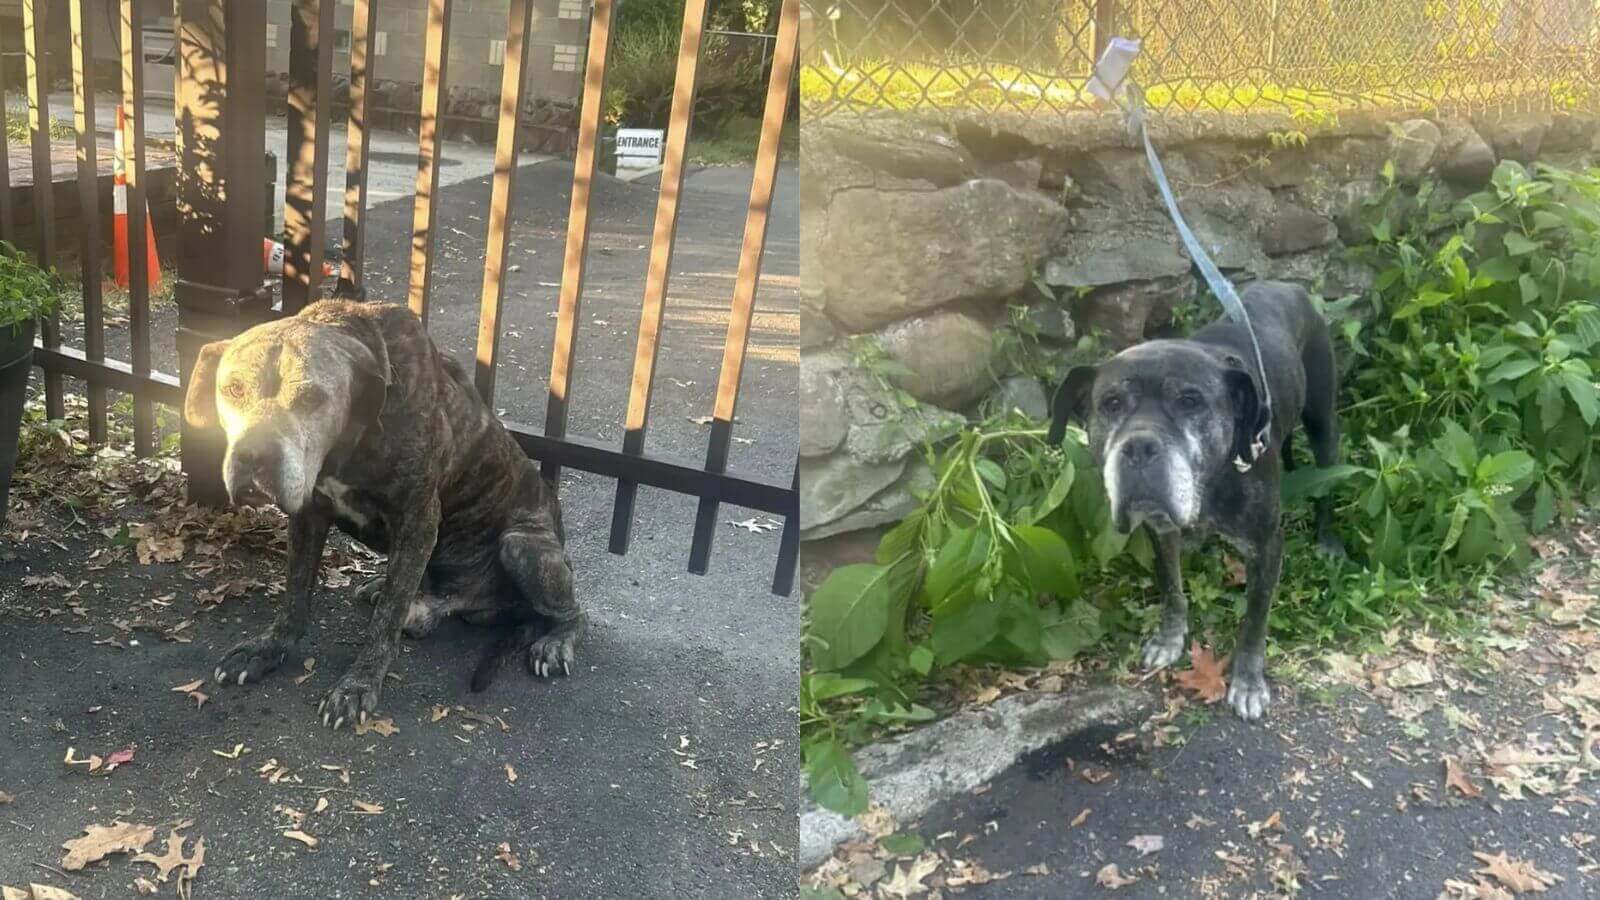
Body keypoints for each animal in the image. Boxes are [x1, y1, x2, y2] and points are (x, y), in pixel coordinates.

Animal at [185, 297, 588, 723]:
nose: (254, 456)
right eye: (232, 389)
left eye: (313, 399)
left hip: (522, 546)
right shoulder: (308, 514)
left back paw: (555, 642)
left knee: (573, 612)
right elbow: (295, 591)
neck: (353, 438)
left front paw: (358, 684)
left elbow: (386, 620)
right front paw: (268, 647)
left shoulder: (418, 521)